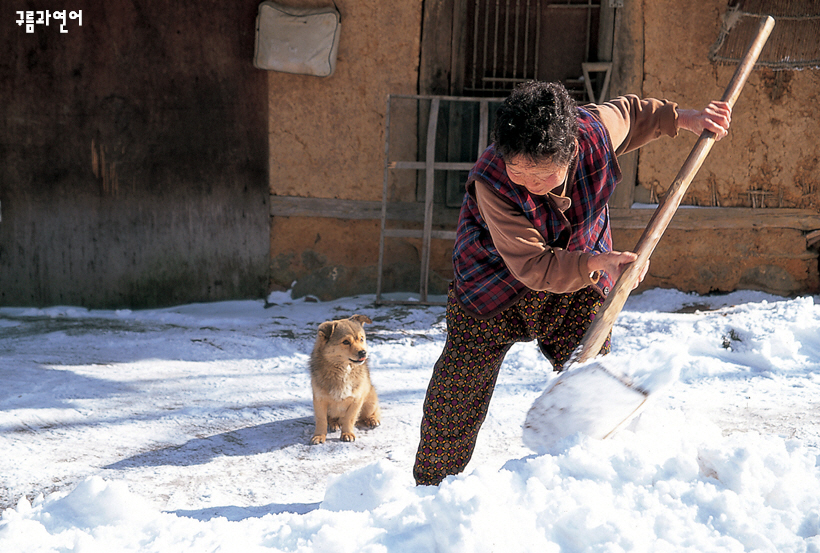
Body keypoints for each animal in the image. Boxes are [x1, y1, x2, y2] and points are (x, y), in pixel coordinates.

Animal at [310, 314, 382, 444]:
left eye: (361, 339)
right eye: (346, 342)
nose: (363, 352)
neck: (343, 370)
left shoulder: (356, 400)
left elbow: (349, 418)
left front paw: (347, 433)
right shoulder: (319, 399)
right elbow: (321, 420)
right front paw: (319, 435)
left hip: (370, 401)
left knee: (372, 412)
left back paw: (372, 419)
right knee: (332, 418)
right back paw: (334, 423)